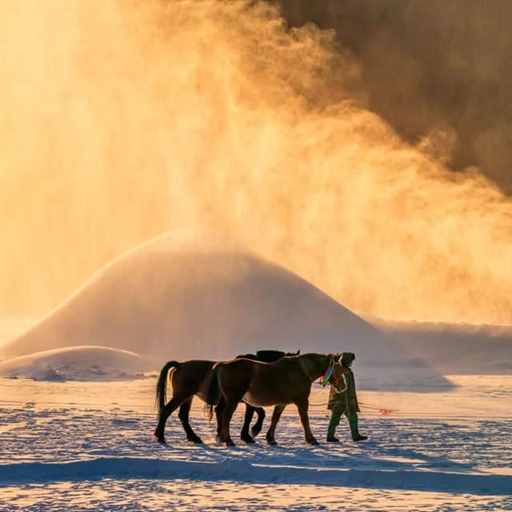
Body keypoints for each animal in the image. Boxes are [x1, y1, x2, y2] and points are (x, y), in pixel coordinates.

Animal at [153, 352, 296, 444]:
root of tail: (180, 365)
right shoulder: (246, 402)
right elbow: (254, 415)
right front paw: (250, 434)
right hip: (181, 395)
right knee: (167, 411)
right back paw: (160, 437)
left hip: (188, 397)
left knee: (183, 415)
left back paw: (194, 437)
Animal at [204, 354, 340, 446]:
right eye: (338, 368)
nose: (340, 385)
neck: (302, 370)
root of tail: (223, 364)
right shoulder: (302, 402)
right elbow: (304, 420)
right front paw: (311, 439)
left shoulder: (282, 403)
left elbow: (275, 419)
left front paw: (271, 438)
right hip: (233, 400)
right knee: (226, 416)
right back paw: (228, 440)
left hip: (227, 400)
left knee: (220, 413)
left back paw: (222, 438)